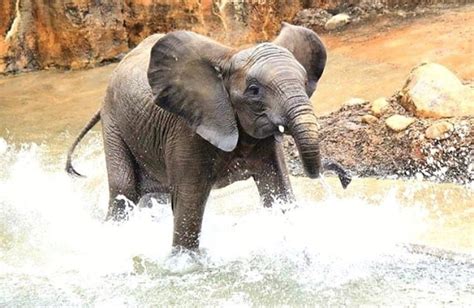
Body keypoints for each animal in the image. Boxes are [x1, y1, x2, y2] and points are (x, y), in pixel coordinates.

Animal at [67, 23, 352, 250]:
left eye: (304, 84)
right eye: (254, 90)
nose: (345, 178)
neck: (230, 57)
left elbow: (278, 189)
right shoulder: (186, 131)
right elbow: (188, 205)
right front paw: (185, 263)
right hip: (114, 123)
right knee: (123, 189)